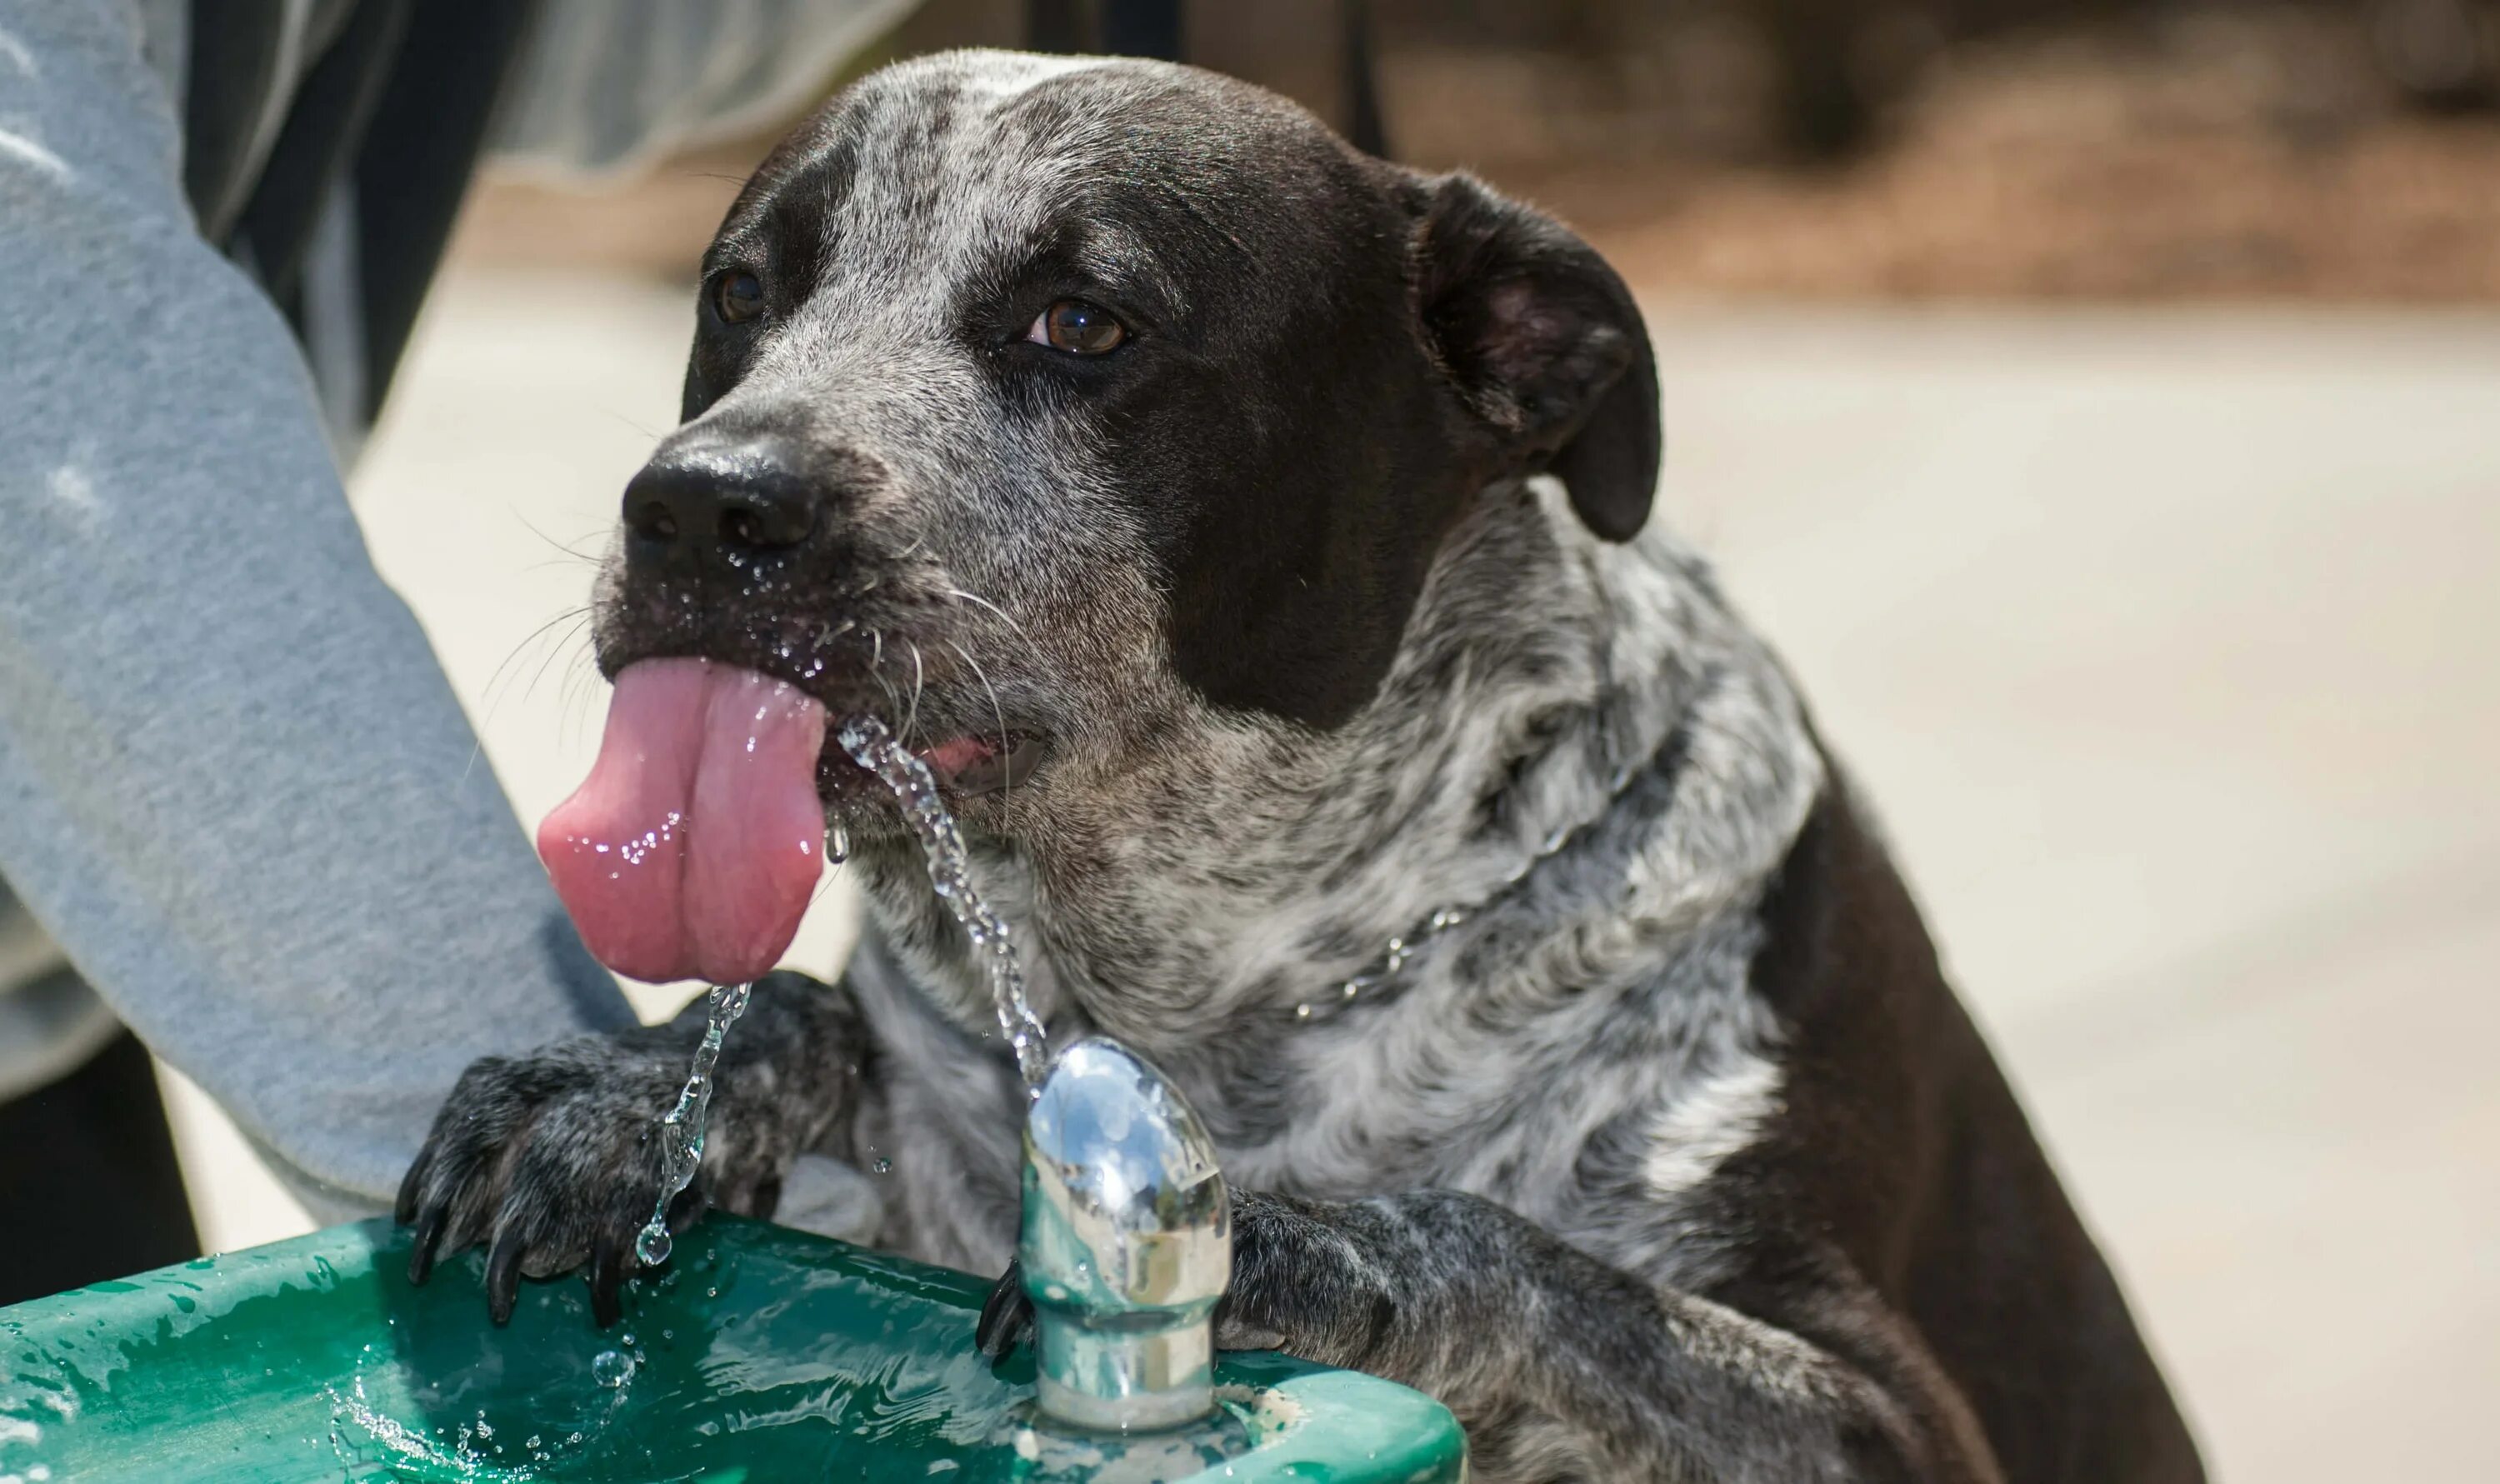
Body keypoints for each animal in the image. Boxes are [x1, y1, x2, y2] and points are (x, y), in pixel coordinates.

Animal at [395, 48, 2210, 1479]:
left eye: (1083, 319)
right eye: (742, 296)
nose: (705, 507)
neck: (1225, 989)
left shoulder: (1882, 1409)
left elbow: (1546, 1268)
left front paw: (1305, 1245)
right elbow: (799, 1017)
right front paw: (622, 1092)